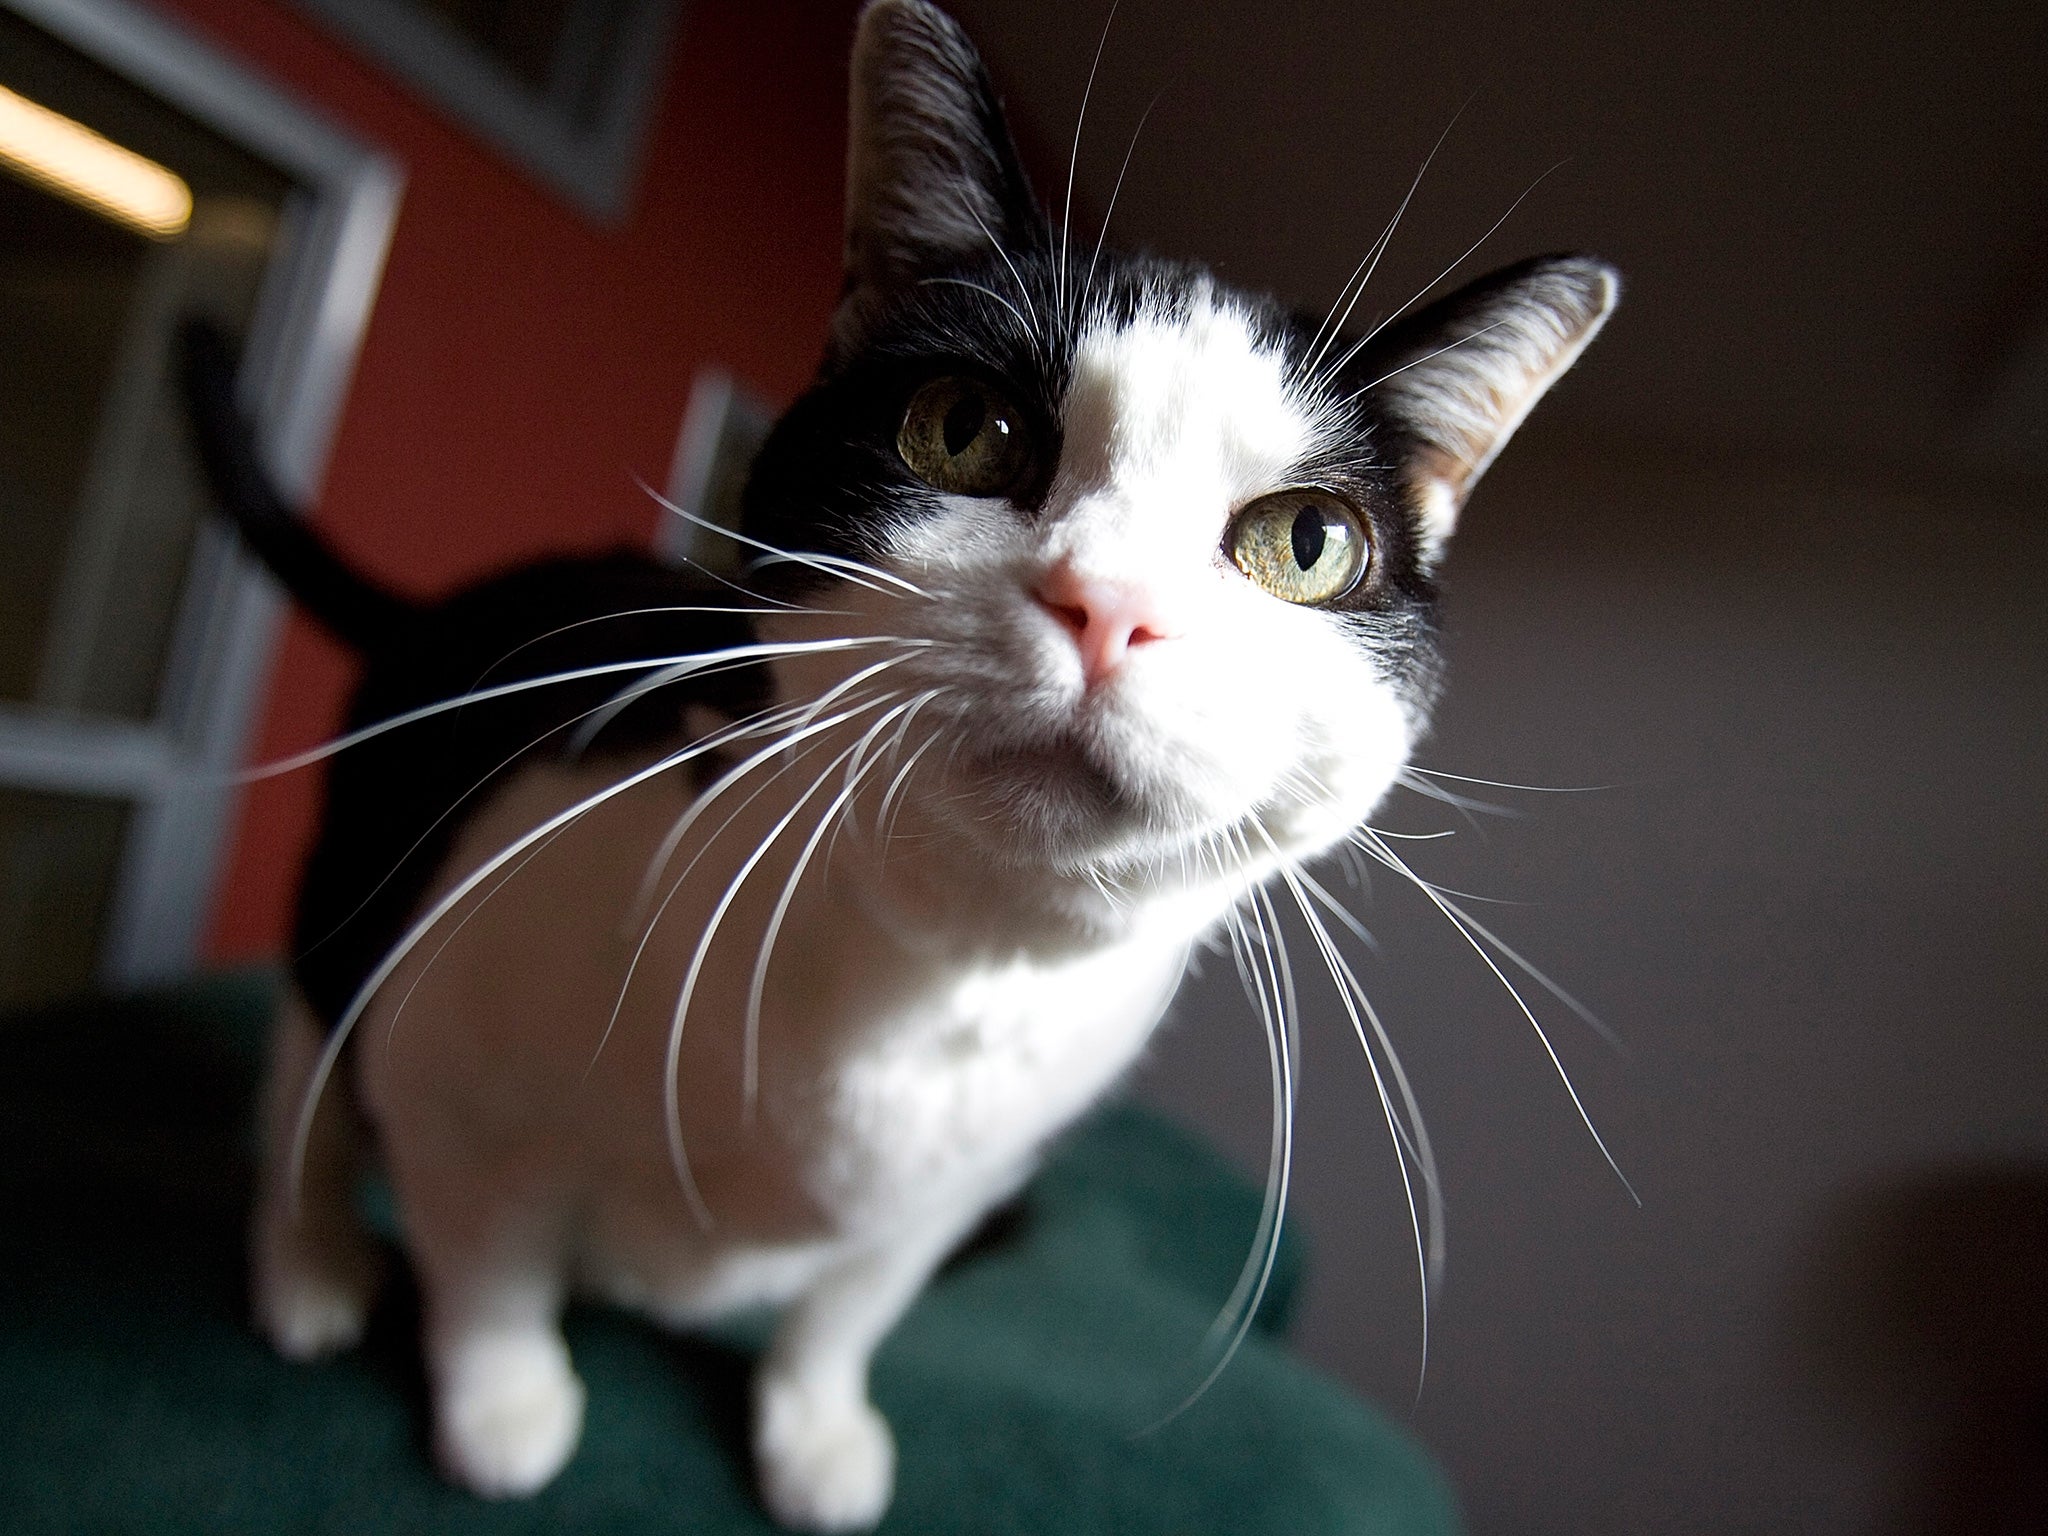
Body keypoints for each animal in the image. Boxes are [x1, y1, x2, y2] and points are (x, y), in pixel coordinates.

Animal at [176, 6, 1613, 1531]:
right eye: (963, 428)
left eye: (1306, 543)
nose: (1106, 606)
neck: (932, 967)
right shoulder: (454, 1058)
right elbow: (485, 1255)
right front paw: (507, 1407)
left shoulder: (939, 1202)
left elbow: (845, 1311)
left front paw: (815, 1435)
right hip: (355, 882)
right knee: (307, 1056)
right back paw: (310, 1259)